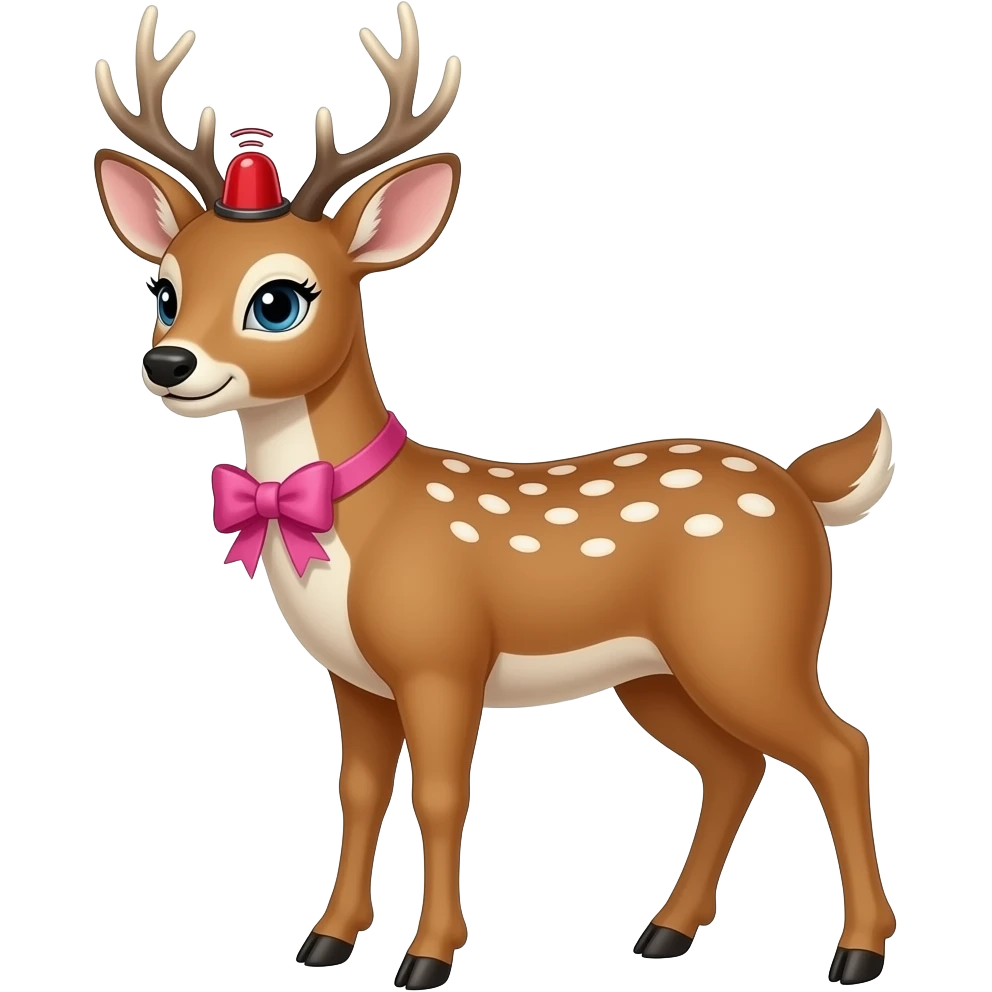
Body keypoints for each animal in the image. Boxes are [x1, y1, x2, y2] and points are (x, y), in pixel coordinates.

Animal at [92, 4, 897, 988]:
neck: (362, 524)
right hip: (658, 673)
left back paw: (857, 952)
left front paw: (428, 957)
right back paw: (665, 931)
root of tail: (797, 485)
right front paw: (327, 940)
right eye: (163, 288)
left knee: (841, 747)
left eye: (279, 300)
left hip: (749, 639)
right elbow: (358, 794)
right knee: (735, 766)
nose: (168, 364)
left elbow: (441, 797)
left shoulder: (443, 657)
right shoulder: (354, 678)